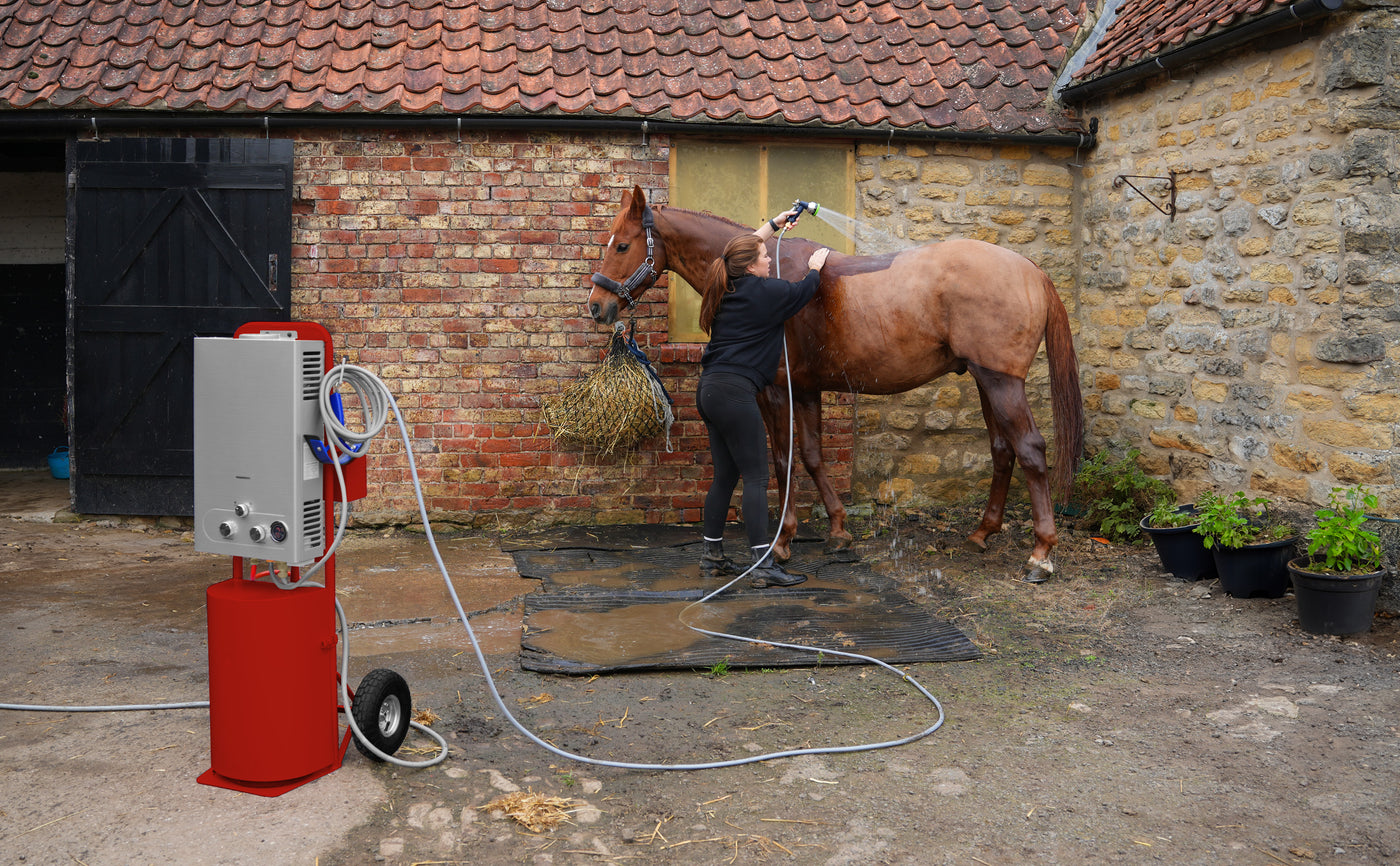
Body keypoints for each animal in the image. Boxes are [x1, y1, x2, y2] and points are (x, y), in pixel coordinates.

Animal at [586, 185, 1084, 582]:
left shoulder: (777, 392)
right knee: (1003, 451)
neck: (765, 273)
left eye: (623, 244)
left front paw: (782, 543)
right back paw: (982, 533)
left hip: (1002, 384)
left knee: (1030, 450)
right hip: (985, 381)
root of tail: (1032, 270)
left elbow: (783, 460)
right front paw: (839, 532)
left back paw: (1040, 554)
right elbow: (811, 456)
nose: (596, 305)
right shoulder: (806, 389)